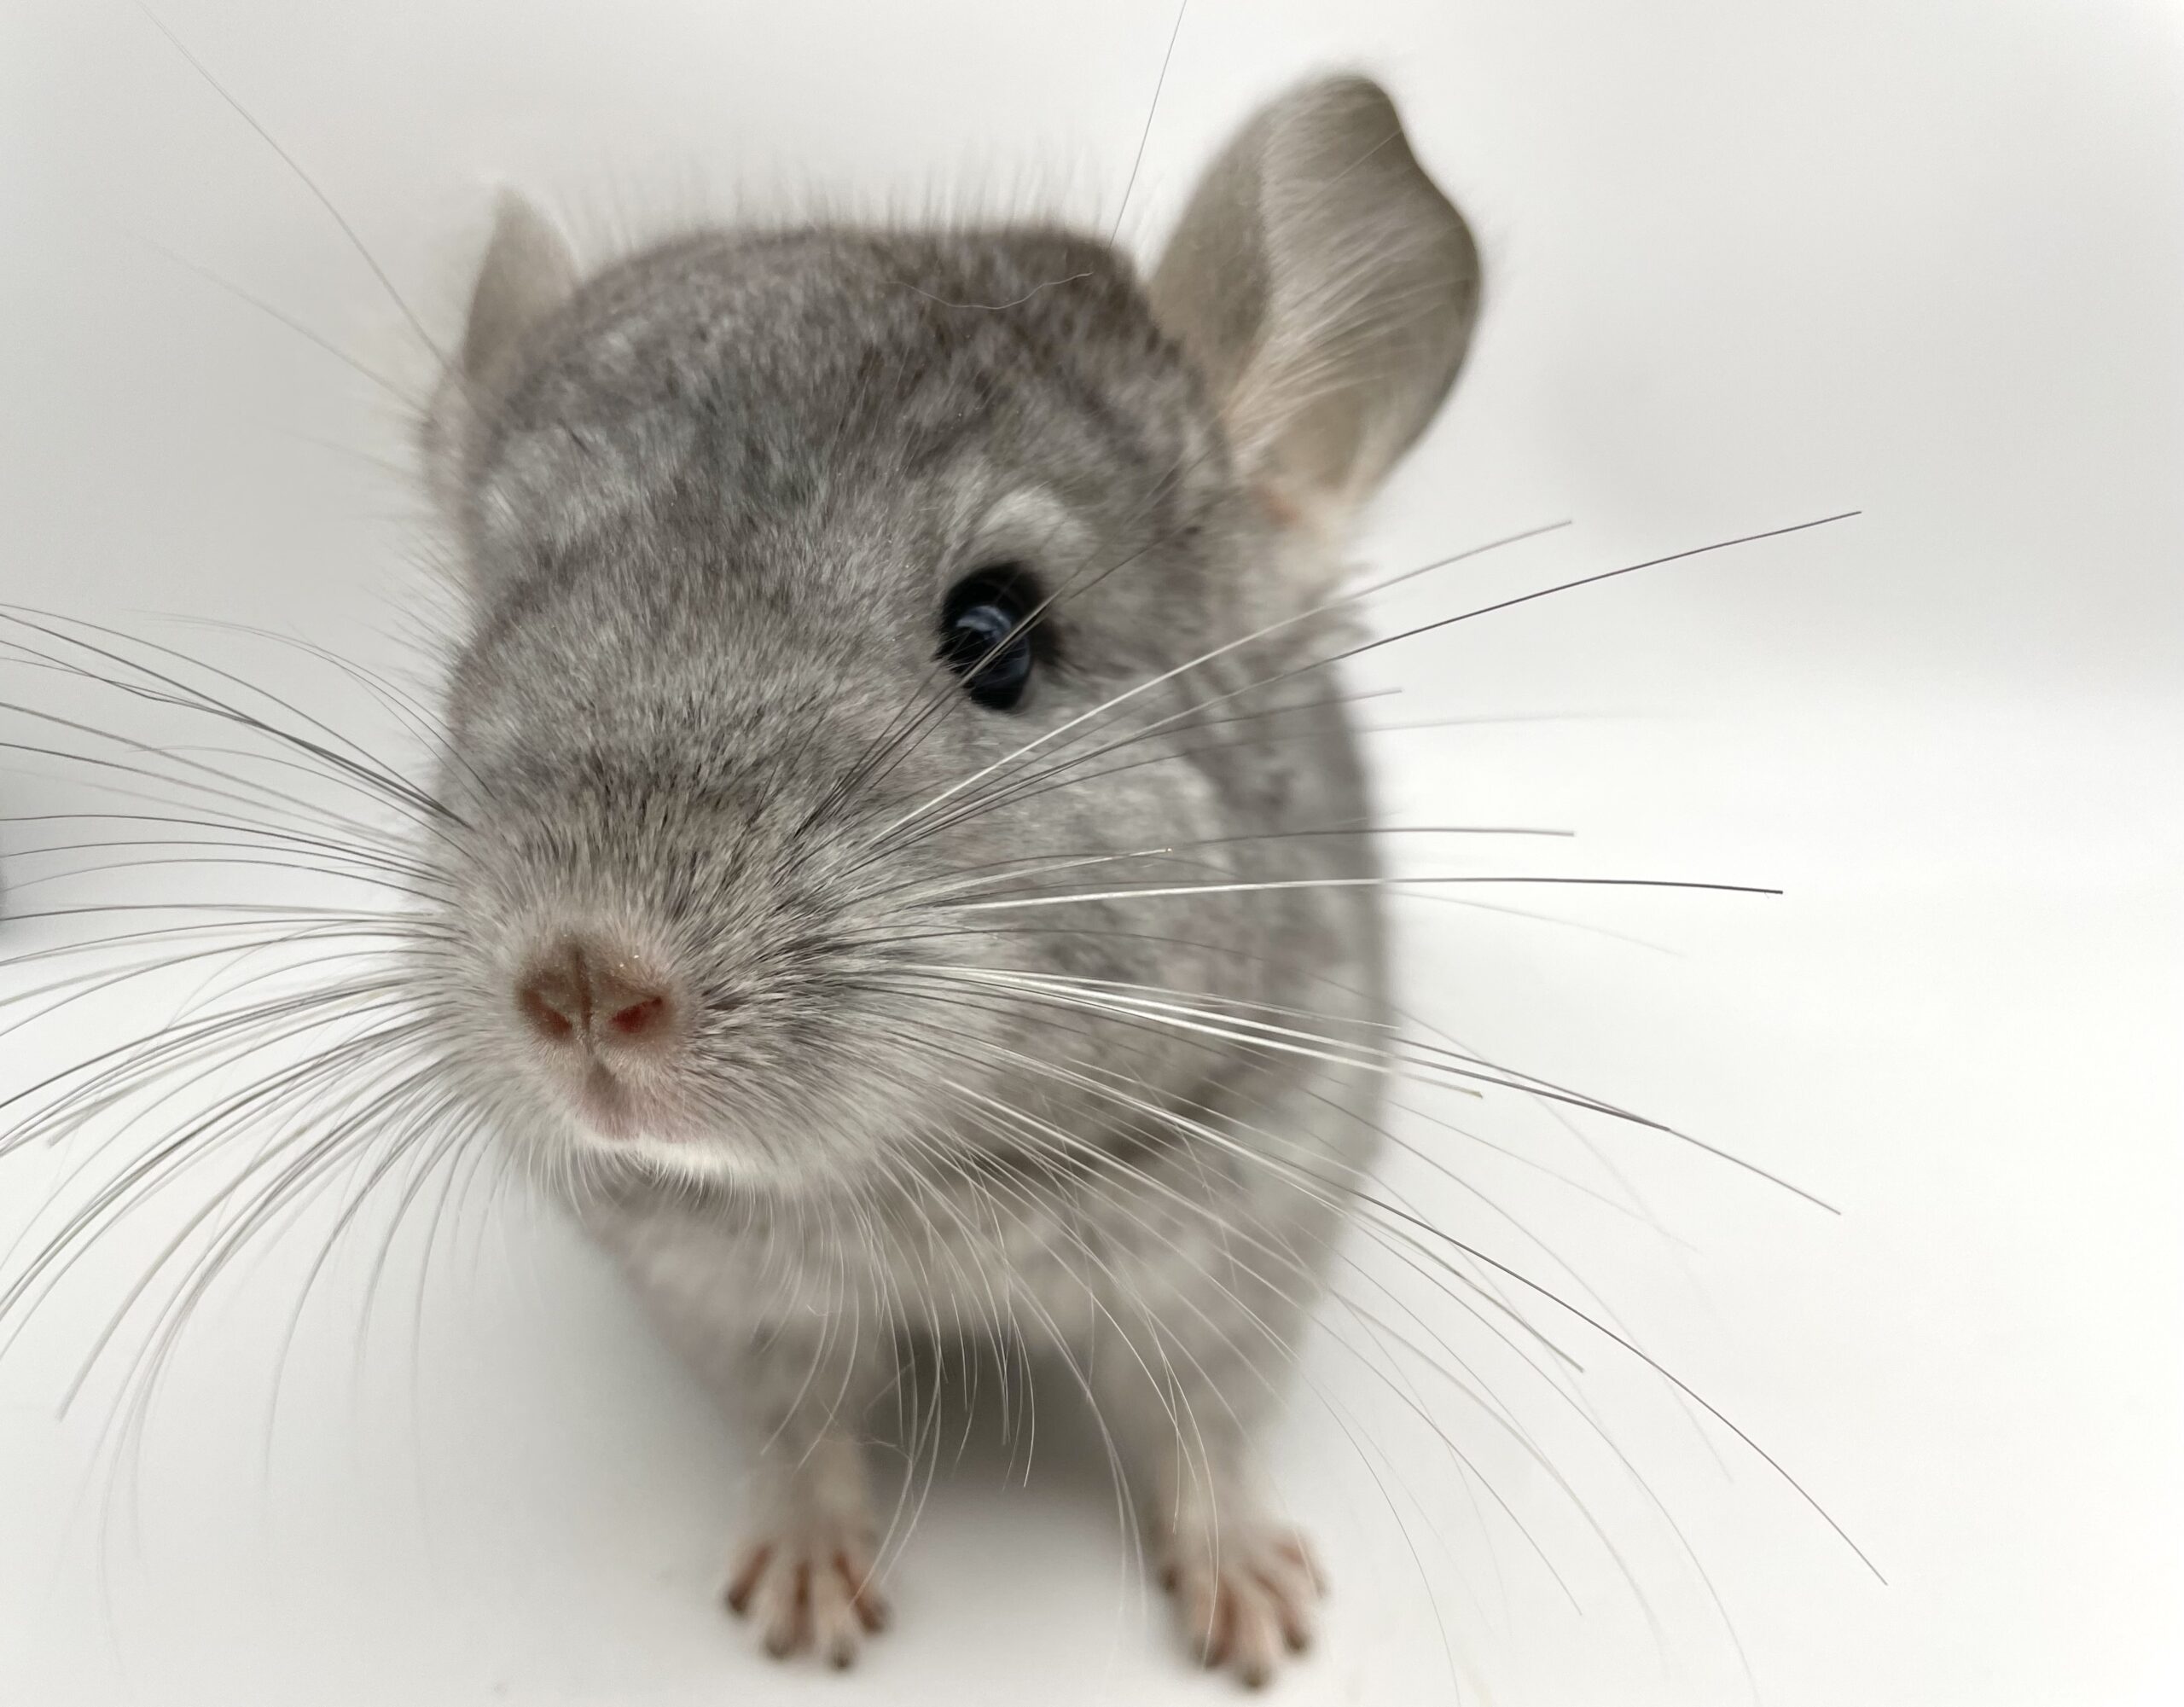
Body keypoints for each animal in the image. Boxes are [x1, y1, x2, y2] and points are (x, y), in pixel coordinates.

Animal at [416, 73, 1477, 1684]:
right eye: (496, 632)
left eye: (997, 632)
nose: (586, 983)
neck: (933, 1181)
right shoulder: (715, 1283)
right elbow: (797, 1425)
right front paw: (803, 1604)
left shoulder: (1261, 1215)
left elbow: (1208, 1423)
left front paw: (1258, 1616)